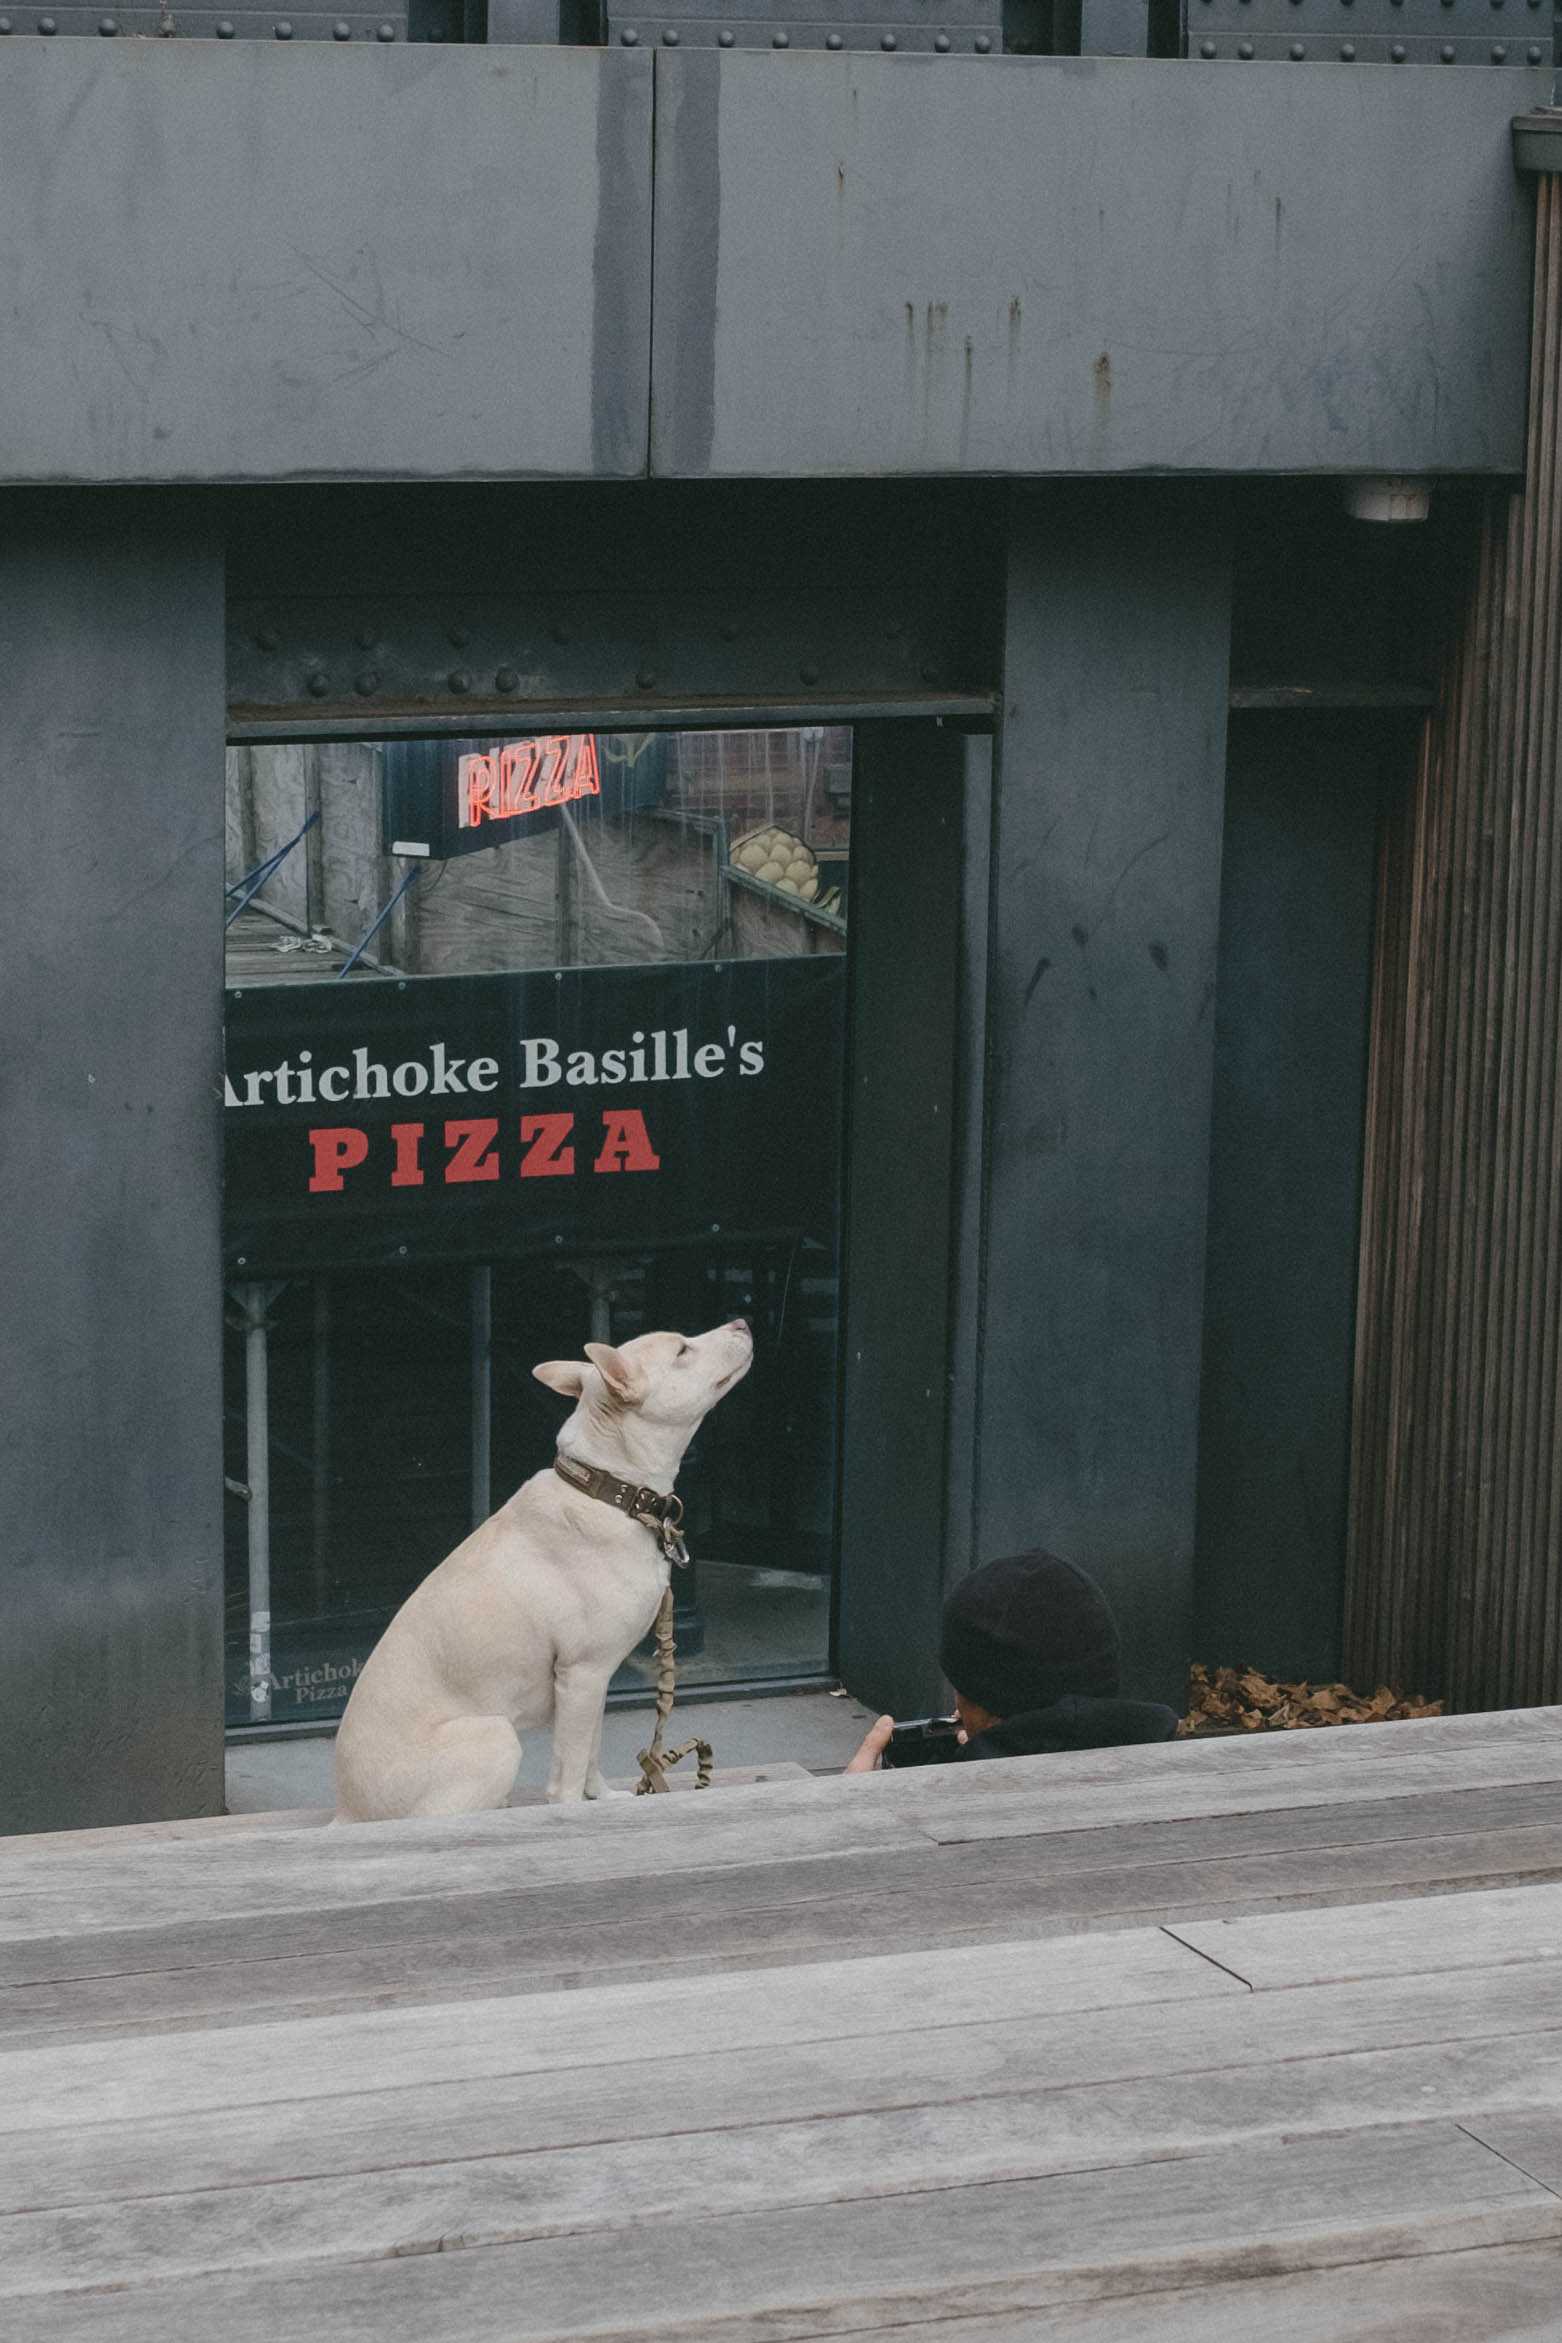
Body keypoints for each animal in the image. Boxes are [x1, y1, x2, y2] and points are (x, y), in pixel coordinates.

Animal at [332, 1330, 754, 1818]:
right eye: (683, 1350)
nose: (742, 1323)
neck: (612, 1492)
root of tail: (348, 1812)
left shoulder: (596, 1681)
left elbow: (590, 1755)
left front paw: (604, 1800)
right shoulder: (582, 1674)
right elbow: (568, 1771)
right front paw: (568, 1813)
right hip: (496, 1737)